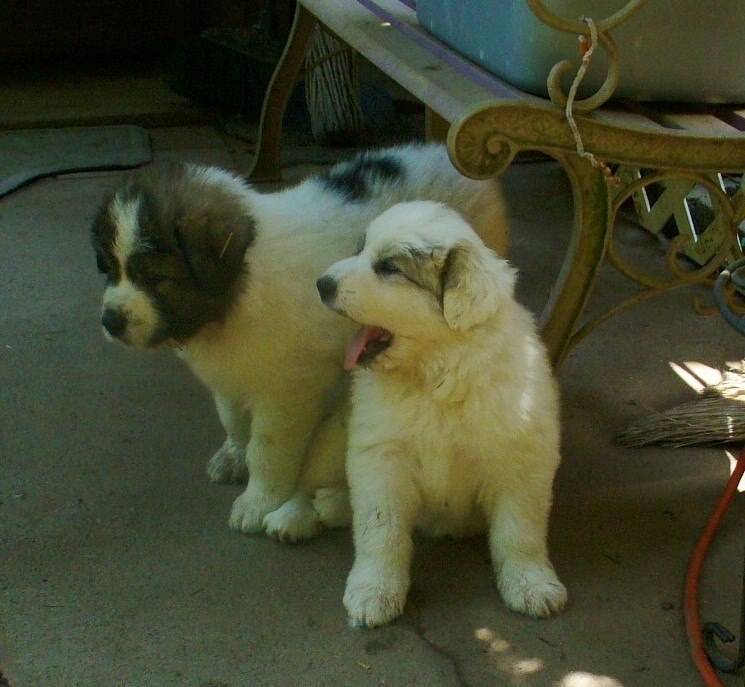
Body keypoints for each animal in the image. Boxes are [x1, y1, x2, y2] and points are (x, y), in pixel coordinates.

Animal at [90, 145, 508, 544]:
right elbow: (232, 415)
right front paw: (233, 453)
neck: (237, 293)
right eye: (109, 270)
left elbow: (268, 450)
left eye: (156, 278)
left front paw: (257, 501)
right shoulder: (230, 370)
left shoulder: (286, 392)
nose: (110, 321)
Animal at [316, 202, 568, 628]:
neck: (436, 372)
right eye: (360, 249)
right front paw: (373, 591)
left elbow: (520, 531)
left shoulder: (521, 457)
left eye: (389, 268)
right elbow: (379, 528)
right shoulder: (381, 454)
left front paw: (531, 585)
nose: (321, 283)